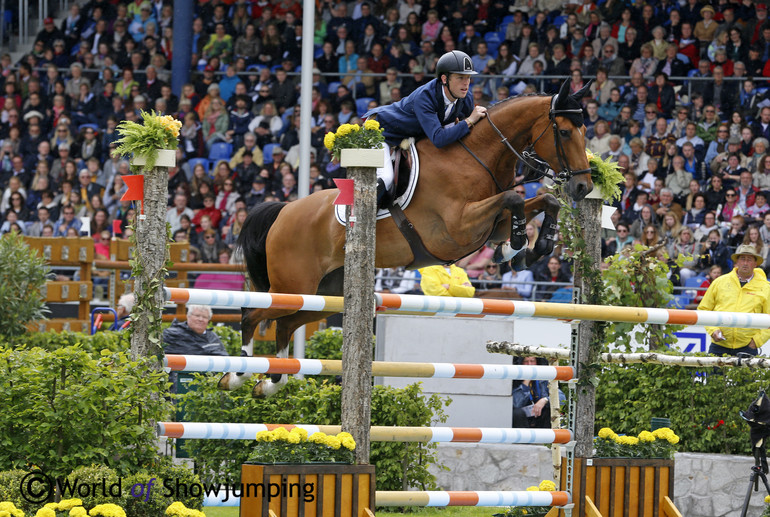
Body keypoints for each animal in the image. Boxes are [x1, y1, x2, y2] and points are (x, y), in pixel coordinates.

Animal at [219, 79, 592, 396]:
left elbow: (544, 201)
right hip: (293, 285)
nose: (584, 186)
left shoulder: (487, 225)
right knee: (253, 314)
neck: (477, 157)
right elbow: (514, 198)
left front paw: (532, 248)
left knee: (285, 324)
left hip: (324, 294)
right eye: (563, 131)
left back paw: (271, 383)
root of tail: (284, 212)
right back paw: (236, 376)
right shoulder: (457, 227)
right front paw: (517, 247)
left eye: (585, 131)